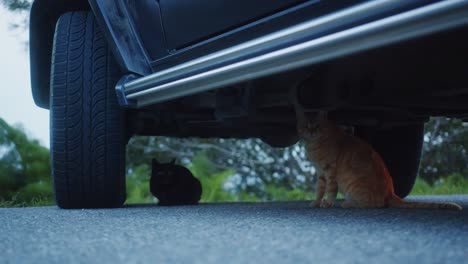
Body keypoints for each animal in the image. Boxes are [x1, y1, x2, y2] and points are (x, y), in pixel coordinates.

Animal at [294, 105, 462, 210]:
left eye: (317, 125)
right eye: (305, 126)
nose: (311, 132)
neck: (315, 145)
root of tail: (391, 192)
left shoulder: (330, 171)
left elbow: (330, 190)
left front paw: (327, 203)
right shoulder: (321, 173)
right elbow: (319, 190)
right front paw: (316, 203)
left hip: (354, 185)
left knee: (373, 204)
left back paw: (348, 203)